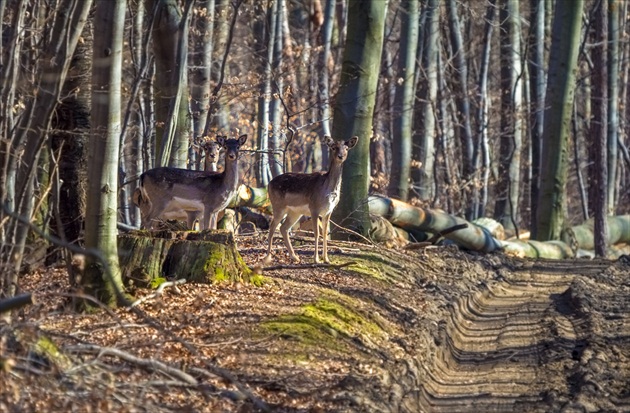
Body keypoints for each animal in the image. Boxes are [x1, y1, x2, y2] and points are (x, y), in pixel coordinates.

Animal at [262, 135, 360, 264]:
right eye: (334, 147)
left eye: (347, 148)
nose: (341, 156)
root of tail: (269, 184)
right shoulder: (314, 208)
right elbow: (316, 233)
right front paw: (316, 259)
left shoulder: (329, 211)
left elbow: (325, 233)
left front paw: (326, 259)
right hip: (278, 206)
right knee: (273, 227)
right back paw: (268, 257)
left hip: (295, 212)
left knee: (283, 228)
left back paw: (295, 257)